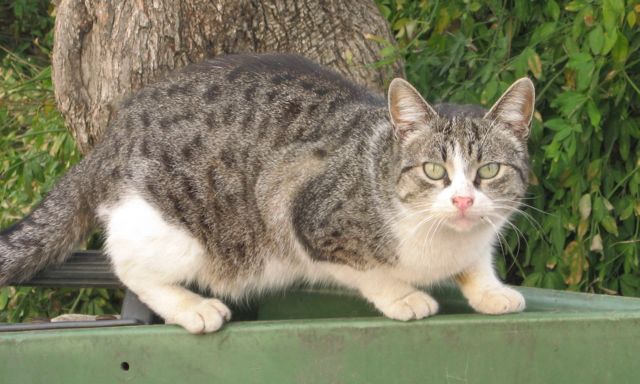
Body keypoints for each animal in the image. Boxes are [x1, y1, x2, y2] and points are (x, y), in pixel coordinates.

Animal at [0, 53, 536, 332]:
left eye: (489, 171)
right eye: (433, 170)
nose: (463, 200)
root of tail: (112, 136)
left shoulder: (479, 237)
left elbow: (476, 263)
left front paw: (490, 291)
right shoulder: (302, 212)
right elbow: (367, 271)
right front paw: (402, 296)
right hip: (175, 231)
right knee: (128, 264)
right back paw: (192, 308)